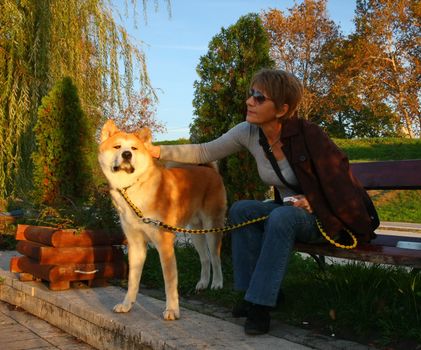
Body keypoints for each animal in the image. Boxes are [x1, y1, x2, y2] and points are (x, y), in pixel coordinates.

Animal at [98, 120, 226, 320]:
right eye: (117, 147)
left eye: (133, 148)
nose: (127, 154)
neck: (133, 190)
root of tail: (208, 169)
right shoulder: (136, 245)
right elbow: (132, 281)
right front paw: (127, 305)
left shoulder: (164, 244)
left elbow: (169, 282)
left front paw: (172, 310)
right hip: (196, 232)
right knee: (204, 258)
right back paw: (203, 283)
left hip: (212, 227)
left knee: (214, 256)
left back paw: (217, 283)